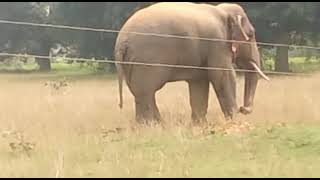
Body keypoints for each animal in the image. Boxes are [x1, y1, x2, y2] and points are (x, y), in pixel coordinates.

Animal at [114, 2, 268, 124]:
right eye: (251, 34)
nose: (243, 108)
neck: (222, 10)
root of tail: (122, 41)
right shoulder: (217, 42)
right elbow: (223, 76)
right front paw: (234, 121)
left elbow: (199, 82)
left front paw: (200, 125)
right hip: (147, 60)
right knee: (147, 92)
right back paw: (155, 125)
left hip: (131, 62)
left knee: (139, 92)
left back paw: (148, 126)